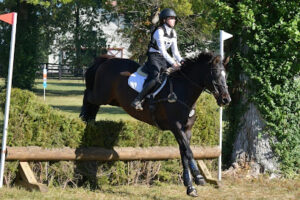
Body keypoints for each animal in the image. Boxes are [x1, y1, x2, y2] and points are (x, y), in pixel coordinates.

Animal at [79, 52, 230, 198]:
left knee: (93, 106)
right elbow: (189, 152)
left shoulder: (186, 130)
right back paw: (83, 118)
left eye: (226, 76)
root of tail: (107, 59)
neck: (183, 91)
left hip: (113, 100)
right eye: (215, 75)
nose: (226, 99)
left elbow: (184, 154)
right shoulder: (176, 127)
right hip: (102, 95)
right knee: (88, 96)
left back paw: (90, 122)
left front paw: (190, 187)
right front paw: (199, 177)